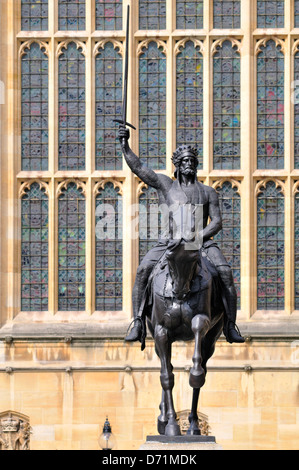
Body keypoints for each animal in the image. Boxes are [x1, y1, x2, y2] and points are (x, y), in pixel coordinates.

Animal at [145, 239, 225, 436]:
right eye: (169, 257)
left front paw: (195, 373)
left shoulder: (203, 320)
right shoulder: (161, 331)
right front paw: (171, 425)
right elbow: (167, 377)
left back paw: (193, 425)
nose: (180, 292)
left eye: (194, 258)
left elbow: (197, 327)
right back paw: (164, 419)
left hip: (211, 339)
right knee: (166, 367)